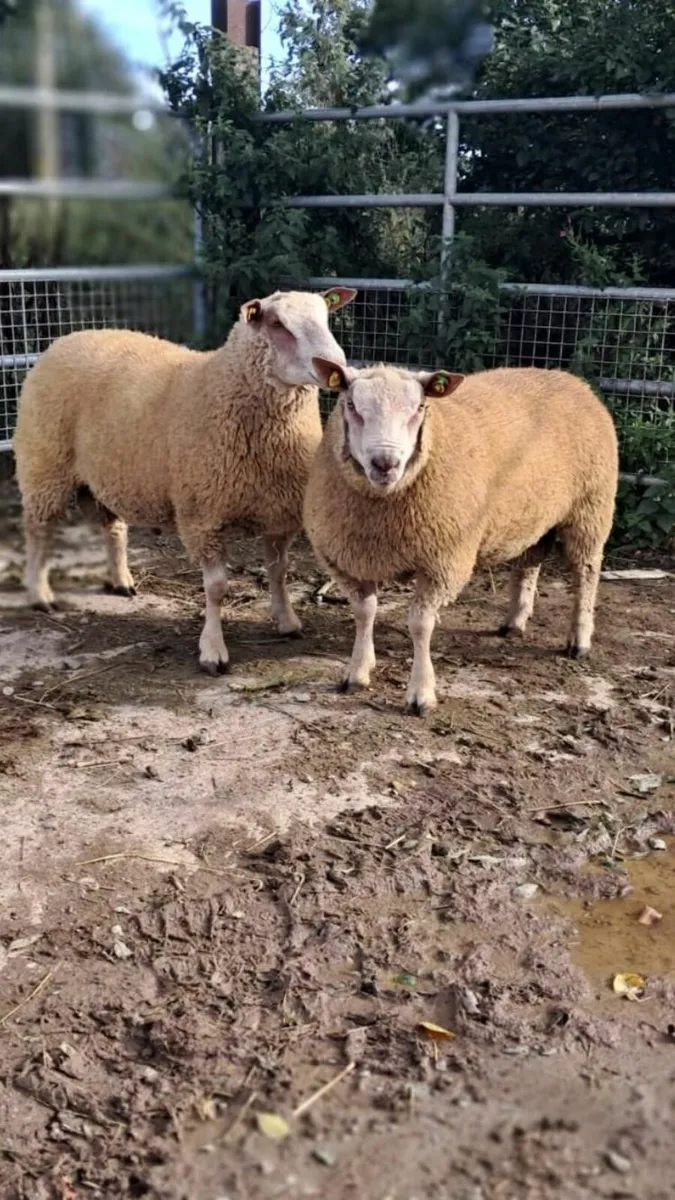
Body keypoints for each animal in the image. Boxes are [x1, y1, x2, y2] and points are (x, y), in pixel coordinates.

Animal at [12, 287, 357, 675]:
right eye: (277, 324)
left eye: (326, 317)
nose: (335, 368)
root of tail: (68, 337)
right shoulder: (202, 516)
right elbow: (216, 588)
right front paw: (213, 650)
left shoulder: (278, 512)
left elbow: (279, 571)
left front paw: (287, 621)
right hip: (45, 463)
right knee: (39, 530)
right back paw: (40, 593)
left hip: (104, 474)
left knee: (113, 527)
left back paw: (121, 581)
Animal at [304, 361, 619, 715]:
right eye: (352, 405)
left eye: (420, 408)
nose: (386, 463)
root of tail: (570, 378)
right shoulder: (348, 559)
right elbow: (364, 613)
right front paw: (357, 672)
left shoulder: (442, 561)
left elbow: (420, 624)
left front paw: (421, 694)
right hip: (534, 513)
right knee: (530, 562)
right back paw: (514, 621)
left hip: (590, 507)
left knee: (585, 574)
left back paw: (579, 640)